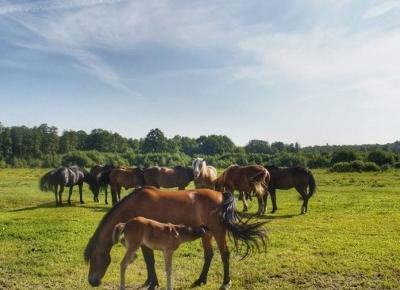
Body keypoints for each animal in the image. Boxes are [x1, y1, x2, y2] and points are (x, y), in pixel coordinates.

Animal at [83, 187, 268, 288]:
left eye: (95, 258)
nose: (92, 282)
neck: (135, 205)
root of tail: (221, 195)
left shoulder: (143, 241)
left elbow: (149, 260)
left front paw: (153, 283)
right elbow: (148, 261)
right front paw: (149, 281)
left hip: (218, 231)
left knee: (225, 254)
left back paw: (225, 283)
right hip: (207, 233)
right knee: (209, 254)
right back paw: (200, 280)